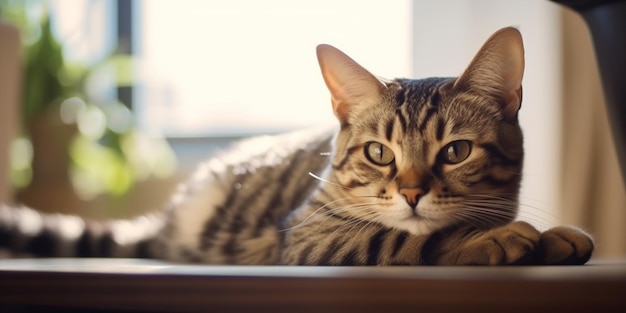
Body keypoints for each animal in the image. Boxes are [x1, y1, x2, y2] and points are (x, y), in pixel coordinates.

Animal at [0, 27, 592, 264]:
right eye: (380, 153)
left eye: (455, 152)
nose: (411, 193)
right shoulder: (308, 235)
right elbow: (403, 240)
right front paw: (491, 239)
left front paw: (552, 236)